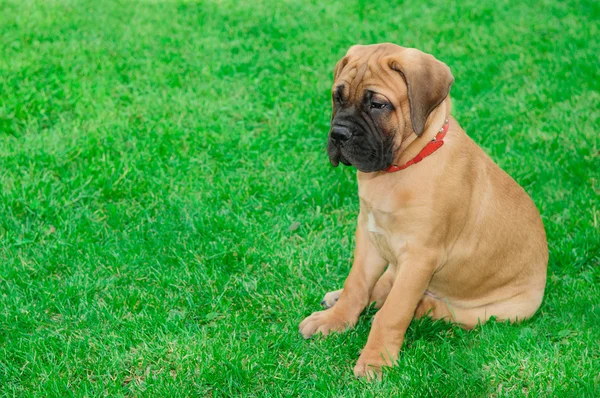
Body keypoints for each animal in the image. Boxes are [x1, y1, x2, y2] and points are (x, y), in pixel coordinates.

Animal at [300, 42, 548, 380]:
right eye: (338, 96)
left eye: (377, 104)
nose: (338, 134)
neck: (402, 167)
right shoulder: (369, 233)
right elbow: (357, 285)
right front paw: (336, 319)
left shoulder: (420, 256)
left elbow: (394, 312)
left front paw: (376, 360)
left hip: (507, 309)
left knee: (448, 311)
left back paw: (421, 308)